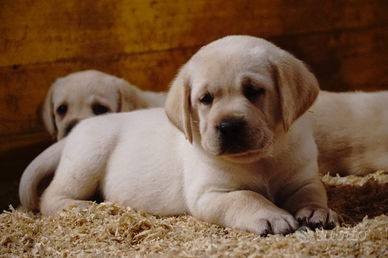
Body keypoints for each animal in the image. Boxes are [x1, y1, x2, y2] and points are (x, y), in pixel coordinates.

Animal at [22, 36, 340, 236]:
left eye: (253, 90)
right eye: (205, 99)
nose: (228, 126)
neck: (259, 159)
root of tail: (75, 130)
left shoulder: (302, 176)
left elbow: (312, 191)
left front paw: (317, 211)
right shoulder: (209, 194)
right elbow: (245, 197)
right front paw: (272, 215)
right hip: (85, 163)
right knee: (51, 196)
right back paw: (84, 206)